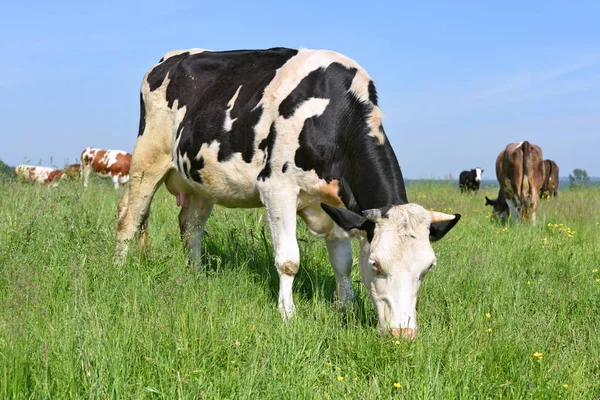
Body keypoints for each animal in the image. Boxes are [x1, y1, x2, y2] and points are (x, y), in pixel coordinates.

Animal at [115, 47, 462, 340]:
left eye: (428, 268)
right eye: (377, 264)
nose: (403, 334)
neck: (333, 115)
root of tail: (169, 58)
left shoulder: (337, 206)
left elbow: (343, 264)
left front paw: (347, 309)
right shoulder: (277, 189)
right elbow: (288, 260)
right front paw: (287, 313)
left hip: (200, 182)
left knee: (191, 228)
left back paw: (197, 276)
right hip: (147, 158)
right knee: (130, 218)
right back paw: (119, 269)